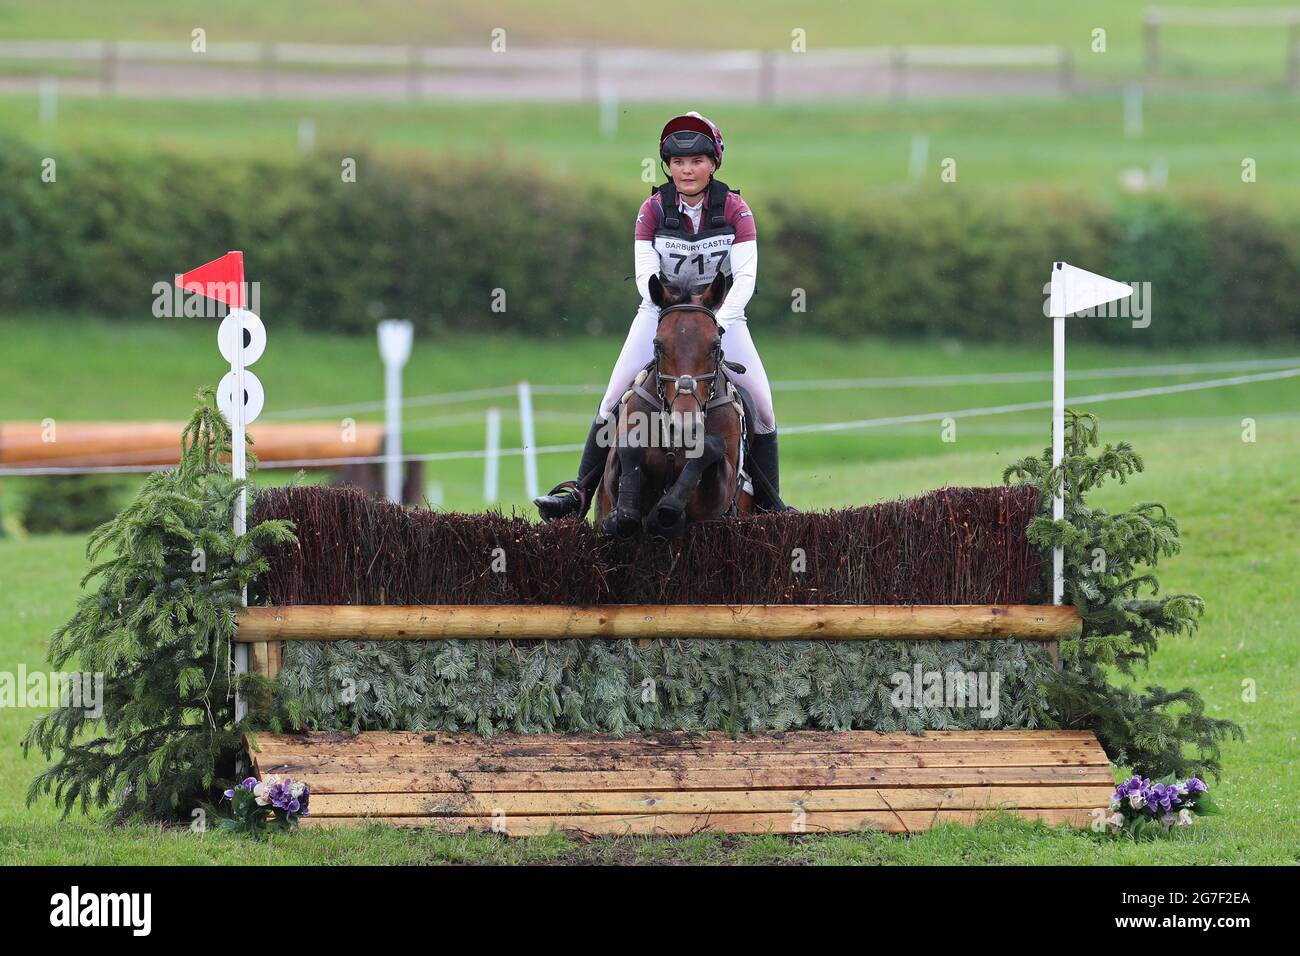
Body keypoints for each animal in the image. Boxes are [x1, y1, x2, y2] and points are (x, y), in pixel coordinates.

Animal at [592, 270, 748, 538]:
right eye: (658, 344)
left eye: (715, 346)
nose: (684, 425)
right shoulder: (613, 477)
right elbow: (629, 444)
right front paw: (623, 515)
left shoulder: (717, 498)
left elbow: (711, 446)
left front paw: (667, 509)